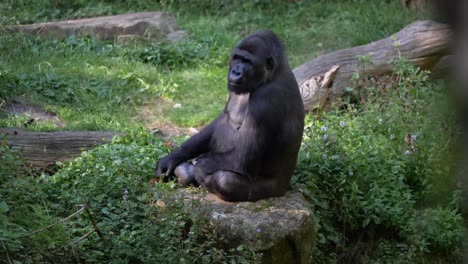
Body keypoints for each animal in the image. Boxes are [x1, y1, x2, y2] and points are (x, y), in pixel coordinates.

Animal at [155, 29, 306, 202]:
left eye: (248, 61)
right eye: (237, 58)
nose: (236, 72)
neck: (273, 73)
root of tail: (286, 187)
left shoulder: (265, 98)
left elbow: (243, 158)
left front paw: (199, 167)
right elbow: (221, 120)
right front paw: (172, 158)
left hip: (272, 192)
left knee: (225, 180)